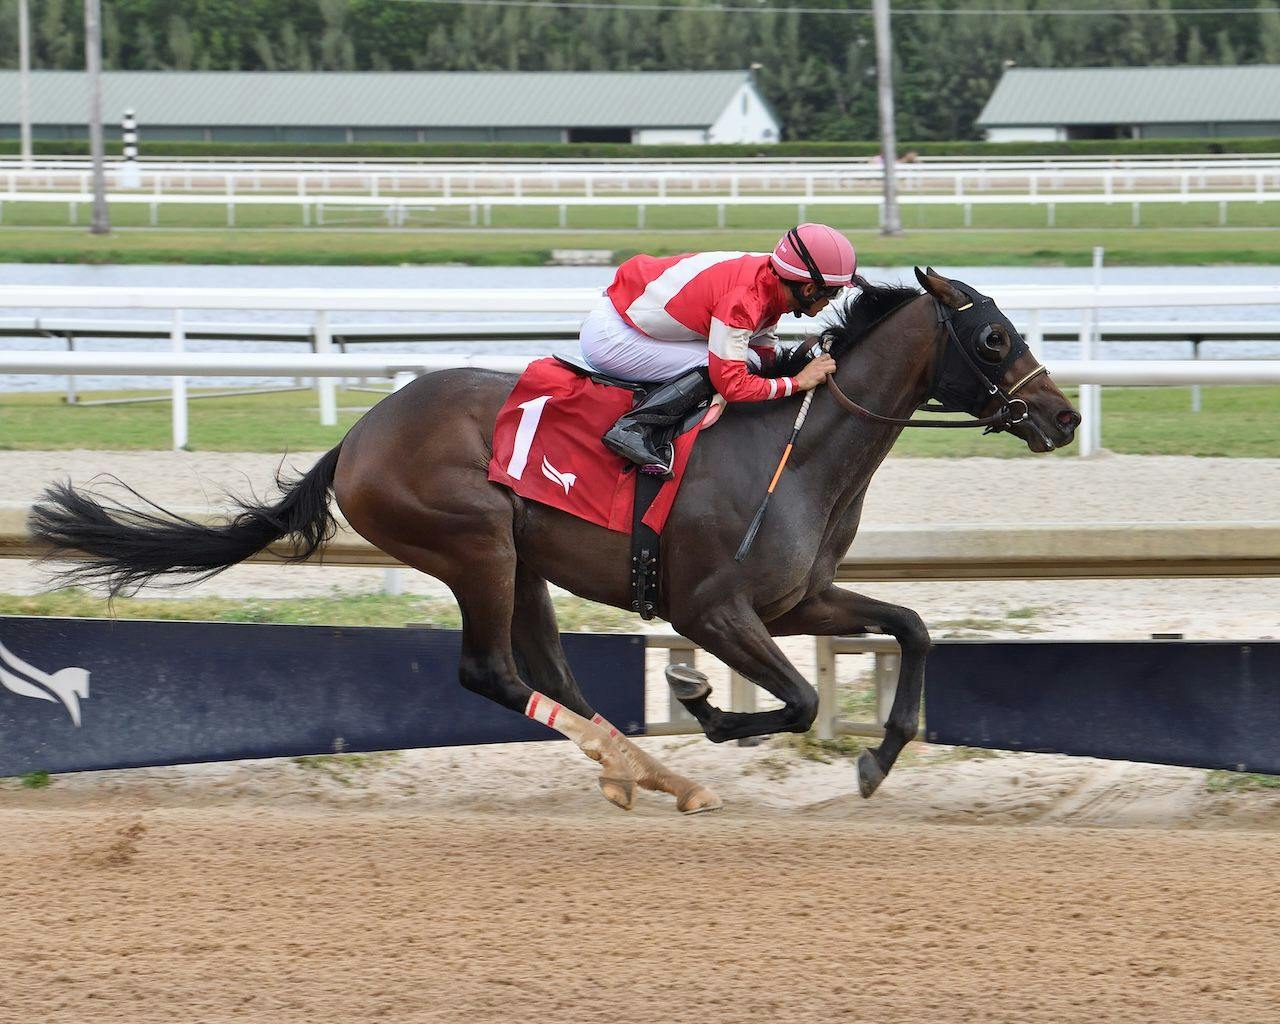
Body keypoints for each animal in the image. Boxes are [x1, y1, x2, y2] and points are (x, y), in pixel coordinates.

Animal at [30, 270, 1080, 814]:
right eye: (993, 338)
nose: (1065, 417)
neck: (798, 445)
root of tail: (360, 434)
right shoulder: (717, 607)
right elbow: (795, 700)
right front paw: (700, 700)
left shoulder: (797, 599)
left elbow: (909, 627)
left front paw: (880, 755)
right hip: (477, 546)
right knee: (492, 673)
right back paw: (648, 767)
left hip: (522, 565)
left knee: (555, 679)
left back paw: (646, 773)